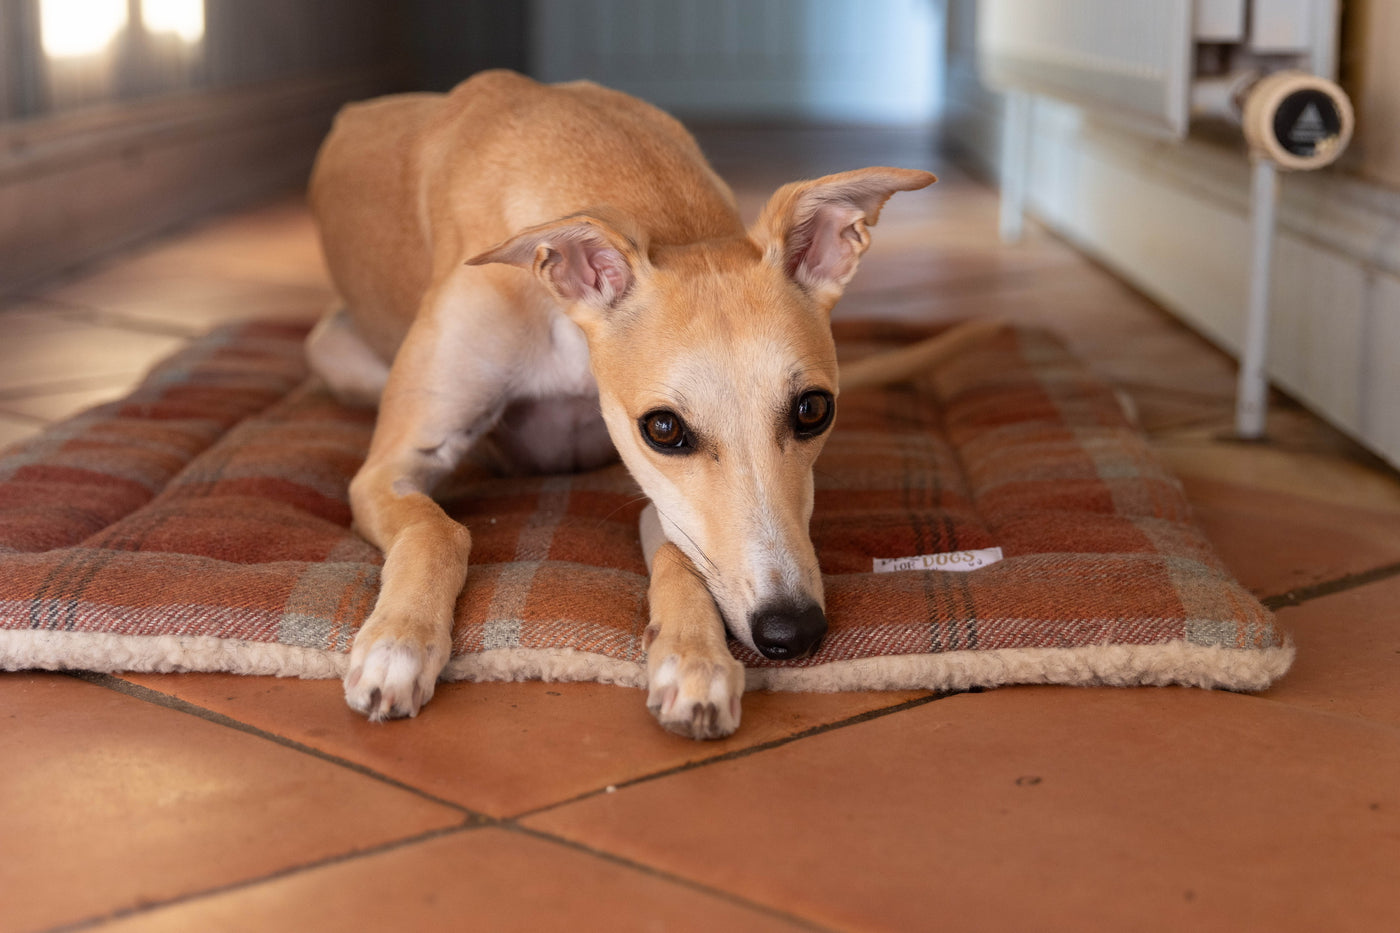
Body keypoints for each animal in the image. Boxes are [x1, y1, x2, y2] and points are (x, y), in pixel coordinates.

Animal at [305, 68, 968, 739]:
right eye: (664, 428)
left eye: (813, 409)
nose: (793, 631)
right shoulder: (385, 470)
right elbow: (437, 528)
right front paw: (398, 644)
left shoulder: (667, 503)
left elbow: (679, 551)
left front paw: (692, 661)